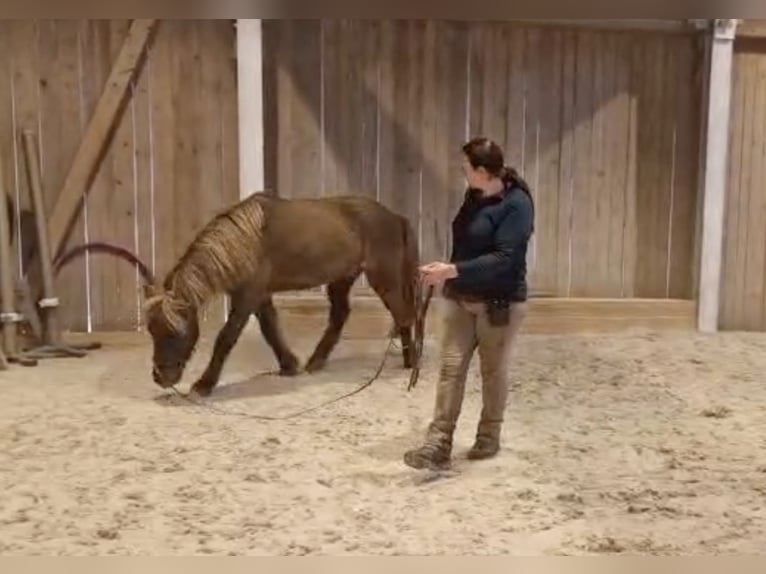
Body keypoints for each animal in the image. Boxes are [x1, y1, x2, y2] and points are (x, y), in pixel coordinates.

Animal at [141, 191, 425, 397]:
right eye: (152, 331)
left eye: (176, 332)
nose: (160, 377)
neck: (245, 241)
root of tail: (395, 216)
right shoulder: (259, 296)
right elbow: (270, 330)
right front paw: (289, 365)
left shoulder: (247, 297)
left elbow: (226, 338)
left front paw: (204, 385)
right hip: (342, 279)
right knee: (341, 315)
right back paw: (315, 362)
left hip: (383, 278)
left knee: (404, 314)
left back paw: (410, 363)